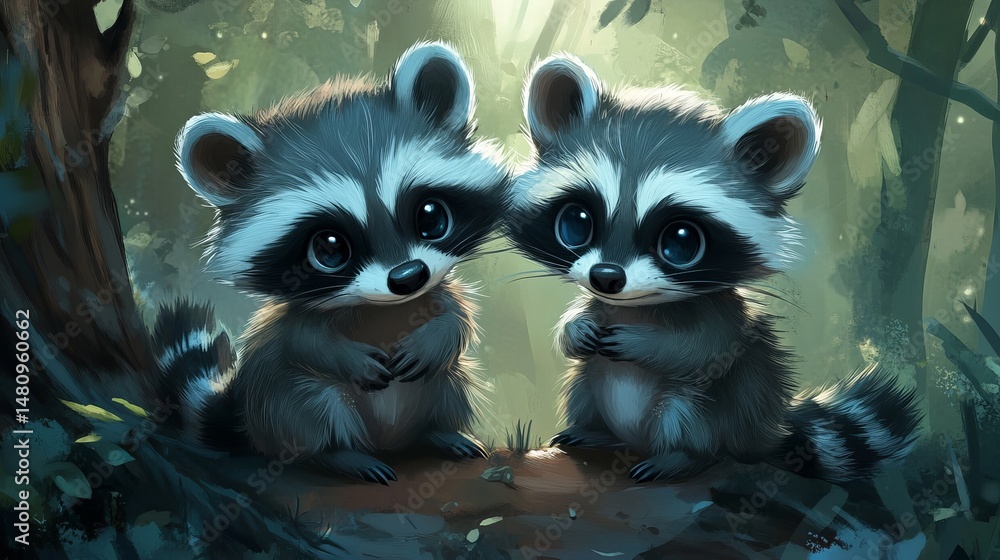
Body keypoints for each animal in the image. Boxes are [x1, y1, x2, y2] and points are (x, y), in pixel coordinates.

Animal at [154, 42, 510, 483]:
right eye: (328, 248)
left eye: (431, 217)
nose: (408, 277)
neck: (384, 308)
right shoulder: (300, 320)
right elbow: (305, 343)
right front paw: (344, 358)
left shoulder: (438, 291)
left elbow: (457, 318)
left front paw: (438, 334)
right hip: (278, 406)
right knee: (311, 406)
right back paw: (337, 455)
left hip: (441, 387)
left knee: (449, 381)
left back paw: (438, 432)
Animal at [506, 54, 921, 483]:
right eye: (577, 222)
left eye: (681, 241)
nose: (606, 277)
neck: (636, 308)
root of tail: (763, 431)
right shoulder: (603, 303)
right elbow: (578, 328)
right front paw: (575, 328)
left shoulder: (722, 316)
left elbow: (701, 350)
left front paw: (644, 343)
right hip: (594, 388)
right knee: (583, 382)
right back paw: (598, 432)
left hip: (724, 414)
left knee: (691, 411)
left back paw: (681, 457)